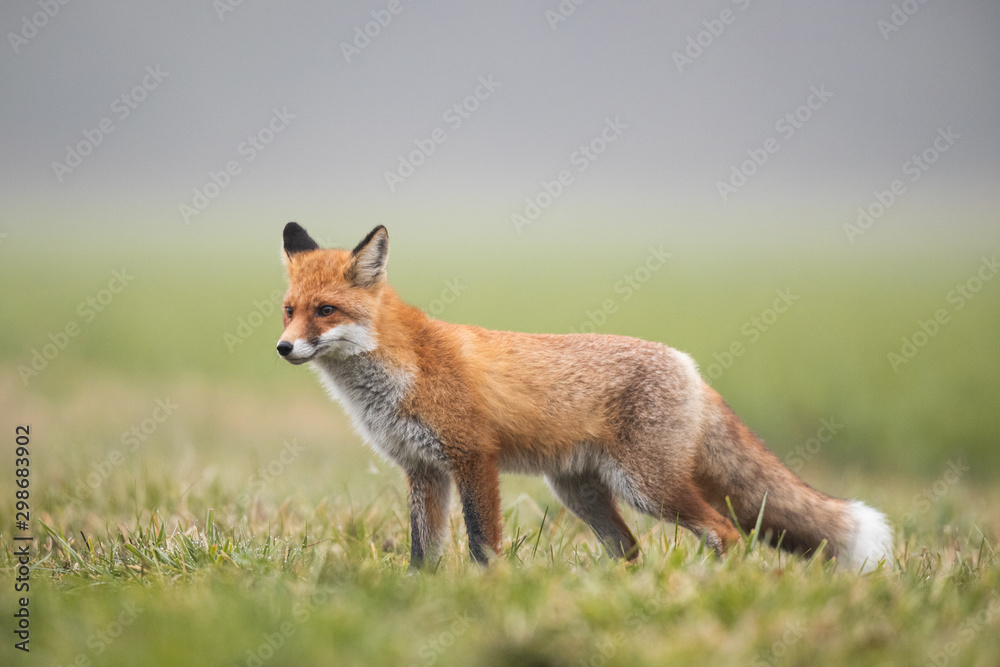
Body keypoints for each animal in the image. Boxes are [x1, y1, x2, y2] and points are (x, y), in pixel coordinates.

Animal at [278, 224, 896, 576]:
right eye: (289, 310)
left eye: (326, 311)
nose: (283, 348)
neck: (399, 370)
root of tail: (690, 366)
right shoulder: (424, 470)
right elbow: (421, 552)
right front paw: (420, 597)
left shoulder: (474, 458)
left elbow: (482, 544)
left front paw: (488, 595)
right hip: (582, 492)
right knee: (630, 549)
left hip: (647, 487)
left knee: (724, 531)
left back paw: (710, 585)